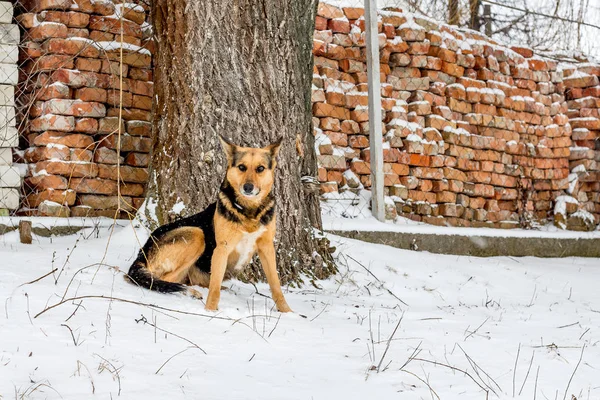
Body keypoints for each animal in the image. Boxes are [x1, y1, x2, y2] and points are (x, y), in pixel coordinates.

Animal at [127, 136, 292, 314]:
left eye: (260, 168)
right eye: (242, 167)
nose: (248, 188)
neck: (249, 211)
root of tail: (141, 252)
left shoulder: (267, 248)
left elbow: (276, 285)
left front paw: (287, 312)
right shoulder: (222, 248)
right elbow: (214, 288)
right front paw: (210, 311)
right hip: (196, 234)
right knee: (164, 280)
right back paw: (191, 293)